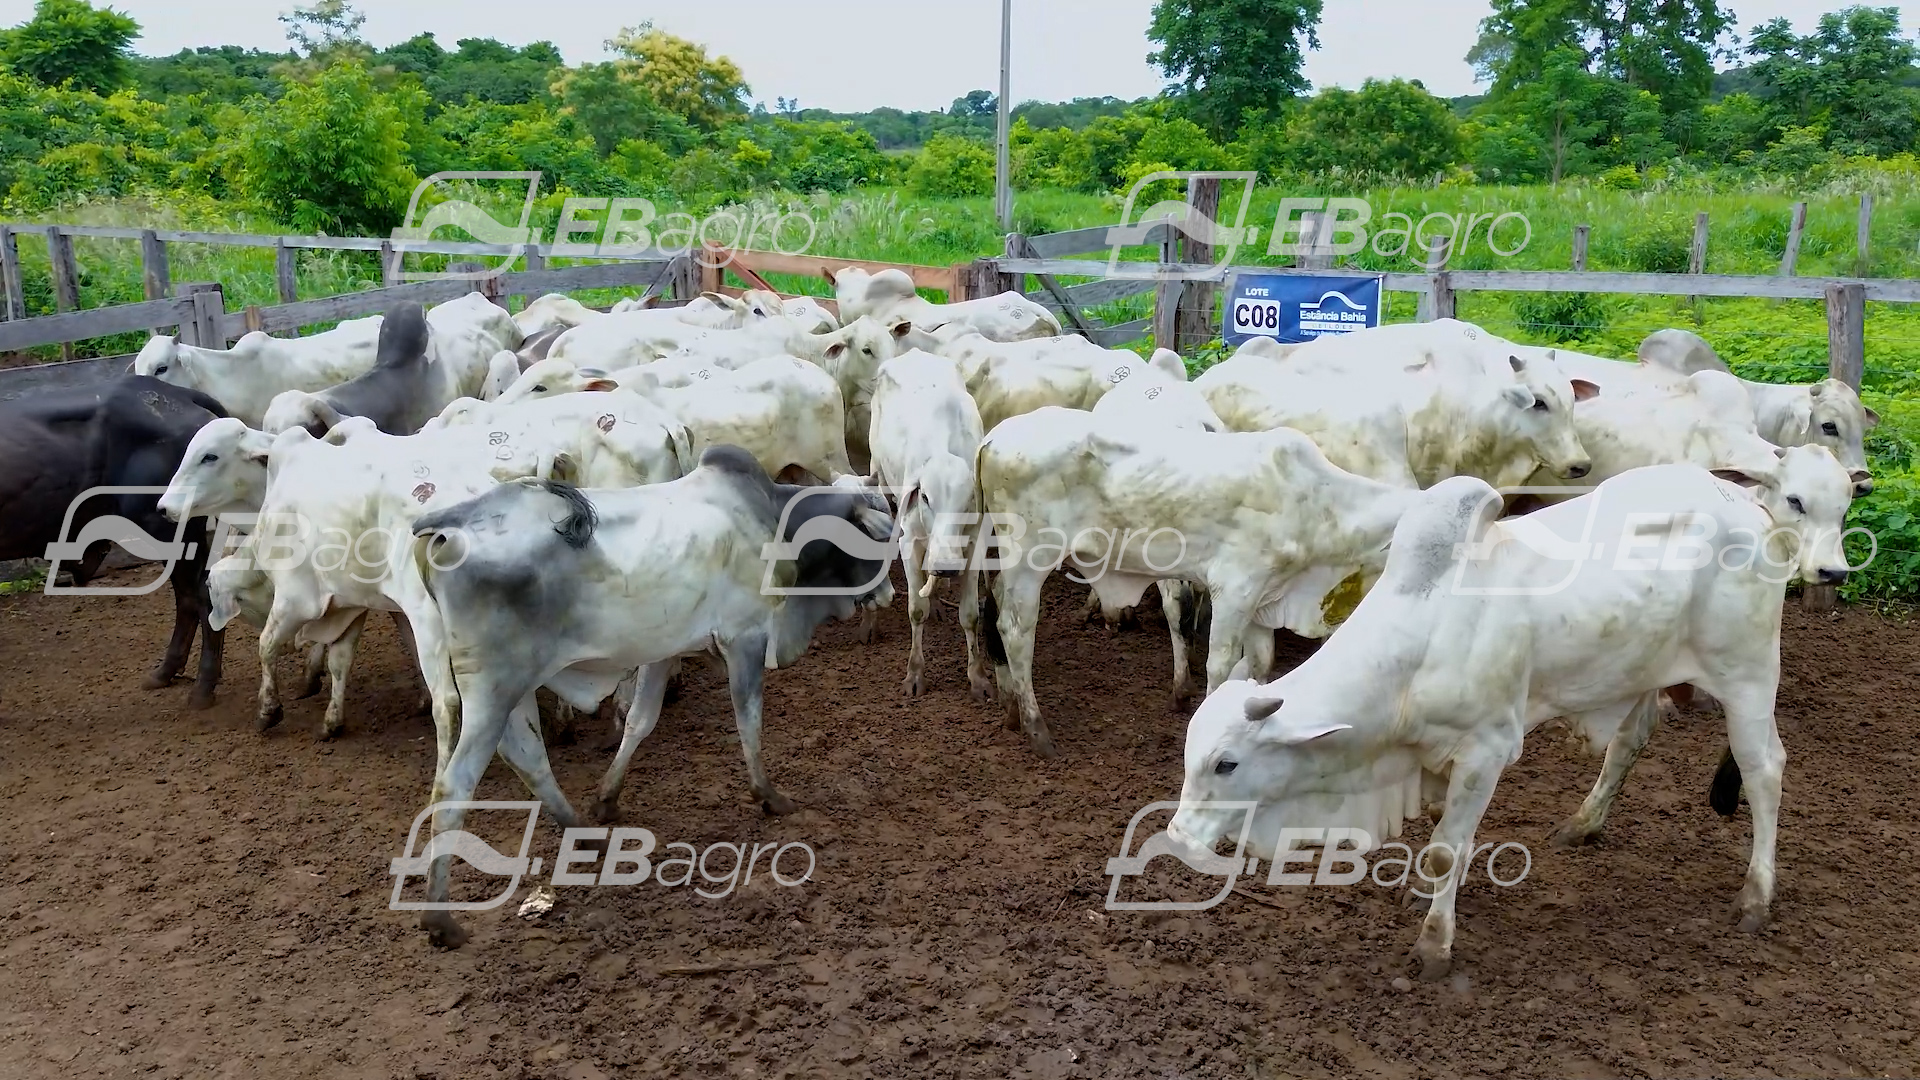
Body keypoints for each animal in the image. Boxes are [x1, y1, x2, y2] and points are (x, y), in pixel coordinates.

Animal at [0, 376, 228, 708]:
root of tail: (175, 392)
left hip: (168, 529)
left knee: (199, 596)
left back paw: (202, 687)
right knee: (188, 597)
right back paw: (165, 673)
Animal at [404, 447, 894, 947]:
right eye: (876, 536)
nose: (889, 593)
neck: (771, 518)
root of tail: (451, 522)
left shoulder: (667, 649)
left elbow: (640, 720)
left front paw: (607, 798)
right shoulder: (745, 637)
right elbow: (749, 719)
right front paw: (769, 796)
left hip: (509, 690)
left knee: (528, 757)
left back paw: (584, 833)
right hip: (494, 689)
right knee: (455, 784)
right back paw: (440, 920)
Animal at [867, 349, 990, 698]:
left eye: (968, 500)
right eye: (925, 497)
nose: (946, 566)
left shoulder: (974, 546)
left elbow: (970, 615)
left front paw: (977, 677)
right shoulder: (909, 542)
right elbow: (915, 609)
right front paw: (915, 674)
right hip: (879, 476)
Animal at [976, 409, 1418, 757]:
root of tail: (995, 435)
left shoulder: (1263, 599)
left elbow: (1261, 665)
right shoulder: (1235, 589)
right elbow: (1219, 666)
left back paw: (1011, 708)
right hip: (1029, 561)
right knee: (1015, 630)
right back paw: (1037, 730)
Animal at [1167, 447, 1855, 980]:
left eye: (1226, 763)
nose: (1176, 836)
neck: (1421, 636)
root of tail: (1753, 508)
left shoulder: (1487, 749)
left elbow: (1447, 849)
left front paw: (1434, 946)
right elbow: (1444, 836)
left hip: (1747, 676)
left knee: (1765, 770)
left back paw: (1756, 897)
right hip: (1643, 668)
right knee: (1631, 740)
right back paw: (1584, 823)